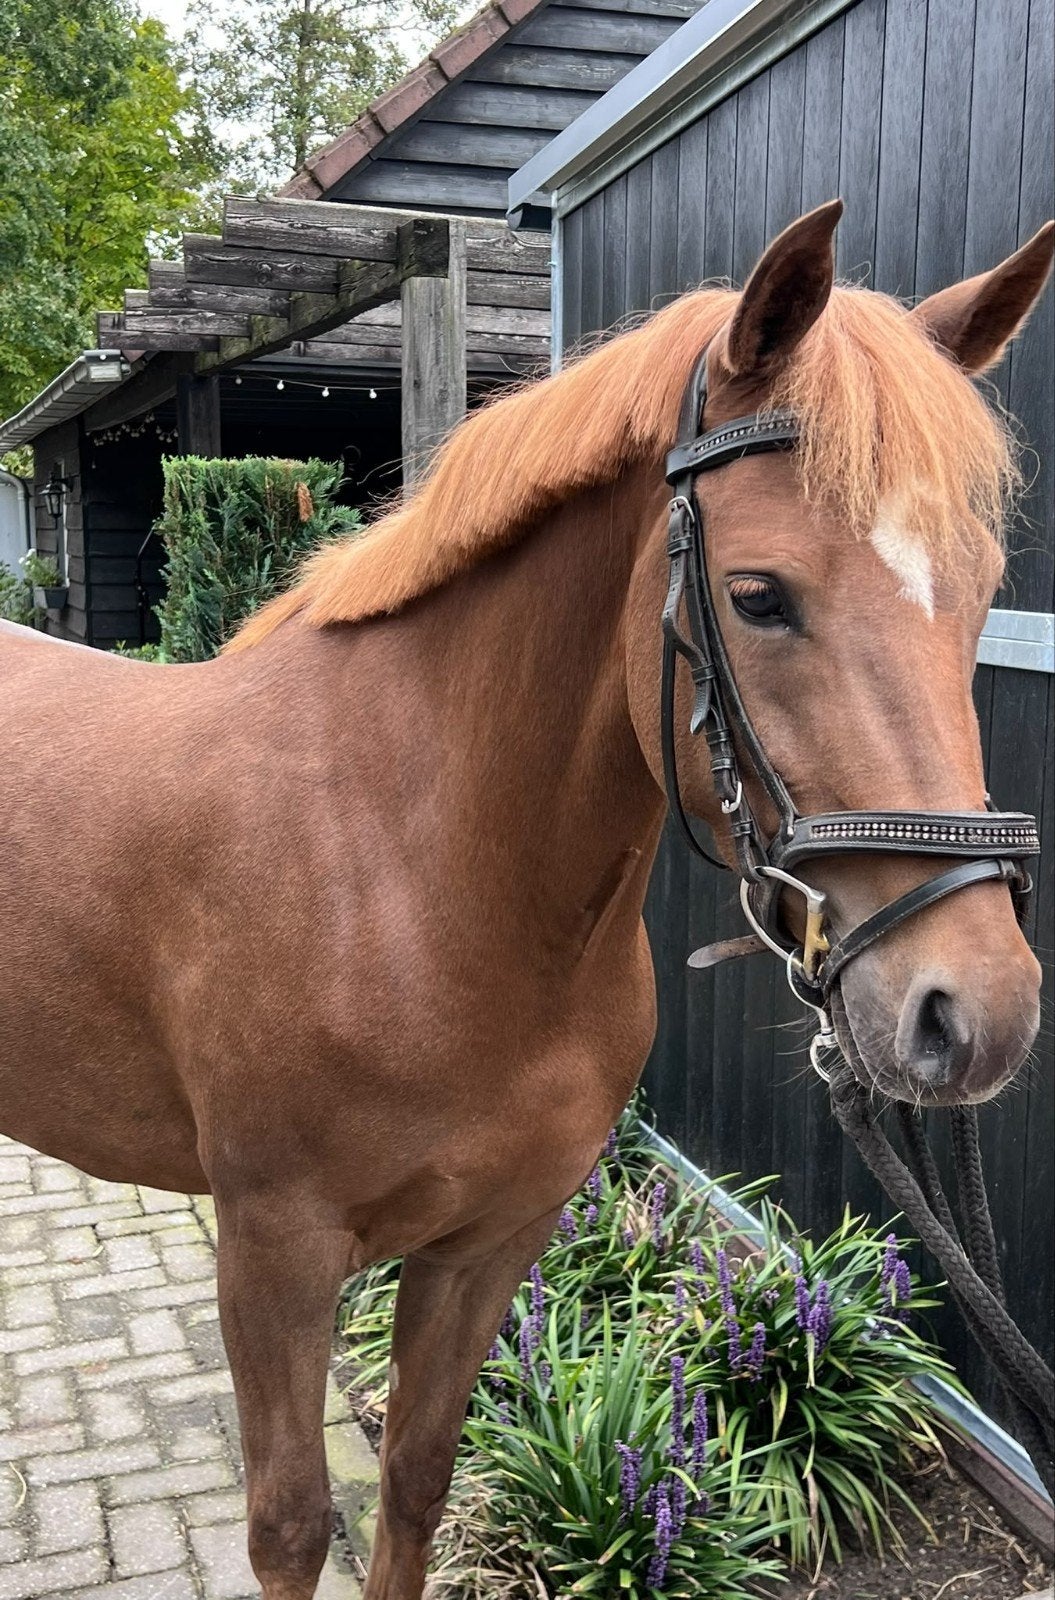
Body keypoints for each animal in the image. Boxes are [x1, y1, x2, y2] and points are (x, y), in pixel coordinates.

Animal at [1, 200, 1051, 1600]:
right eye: (757, 595)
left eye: (980, 586)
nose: (969, 1009)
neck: (413, 871)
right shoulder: (272, 1252)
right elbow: (290, 1524)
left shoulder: (491, 1241)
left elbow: (412, 1481)